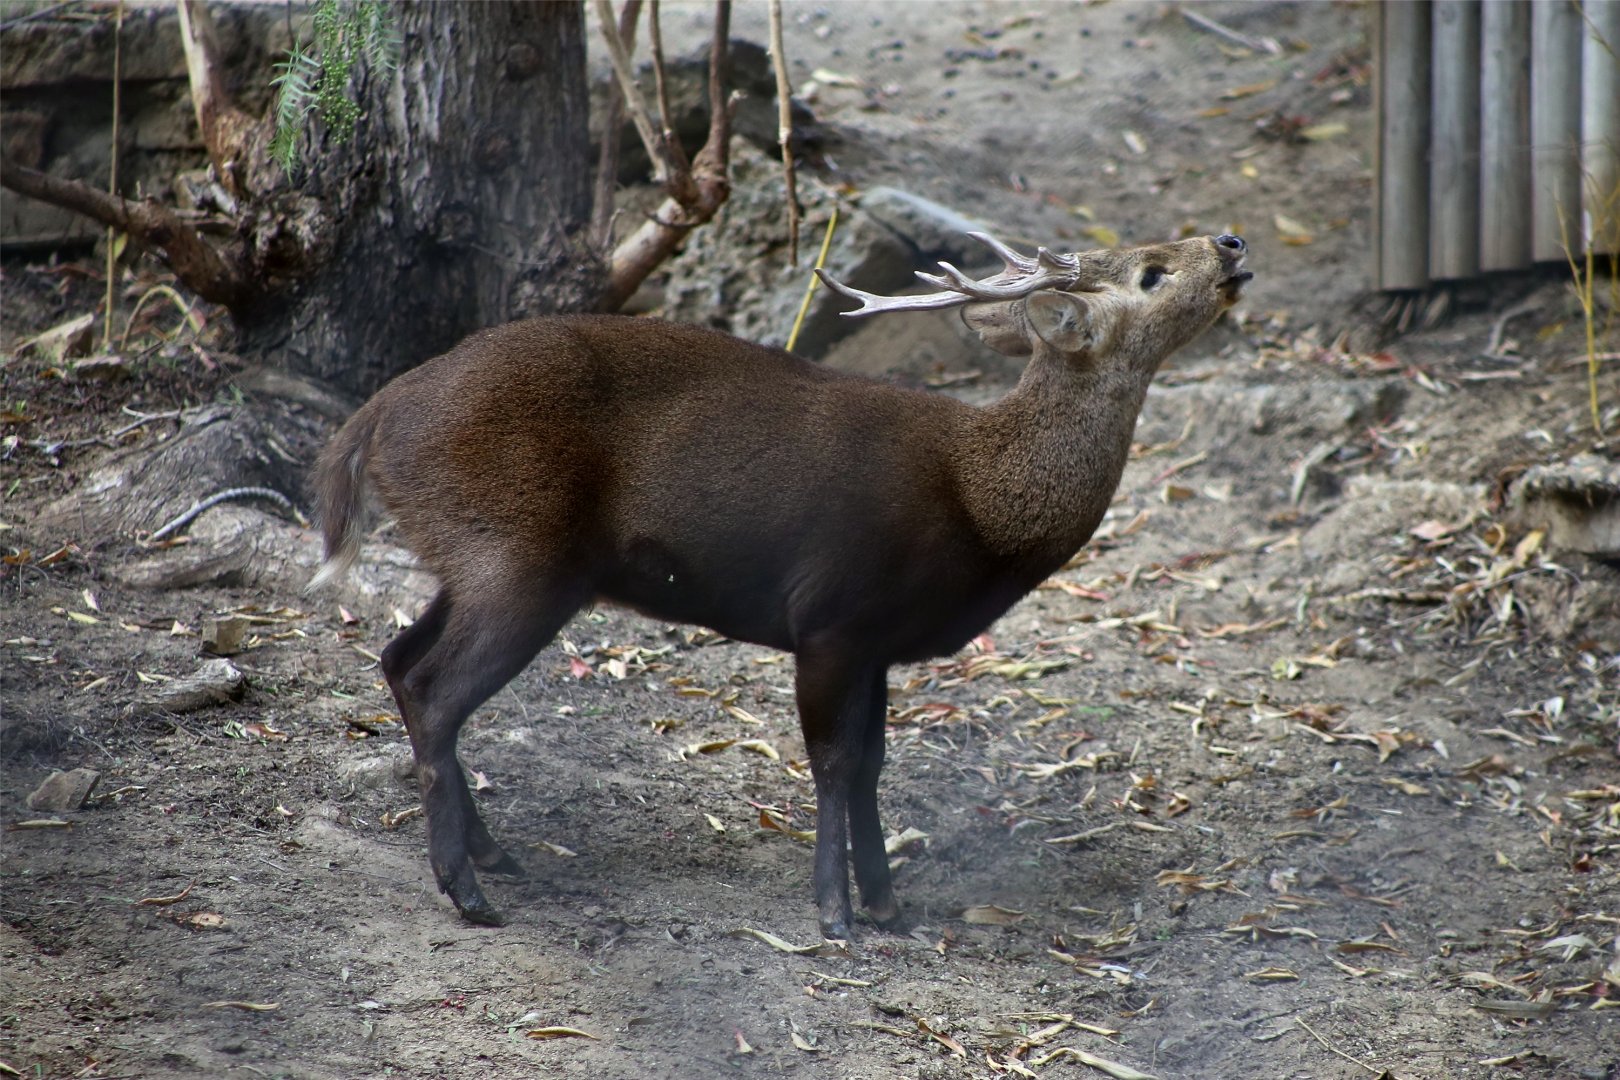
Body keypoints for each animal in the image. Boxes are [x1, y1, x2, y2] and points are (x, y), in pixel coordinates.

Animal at [309, 231, 1252, 937]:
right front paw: (835, 914)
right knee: (435, 687)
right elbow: (833, 762)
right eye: (1150, 272)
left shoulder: (878, 644)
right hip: (517, 554)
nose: (1231, 242)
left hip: (472, 556)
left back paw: (493, 854)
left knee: (398, 658)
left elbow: (871, 765)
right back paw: (467, 891)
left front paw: (888, 906)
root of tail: (374, 418)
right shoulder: (831, 615)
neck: (980, 505)